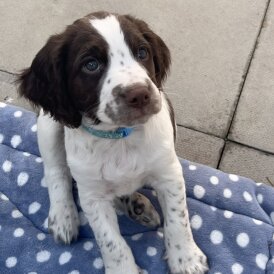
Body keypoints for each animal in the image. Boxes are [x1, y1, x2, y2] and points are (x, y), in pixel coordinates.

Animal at [18, 11, 209, 274]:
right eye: (91, 65)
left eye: (142, 52)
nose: (139, 94)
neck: (119, 137)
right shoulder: (92, 197)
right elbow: (111, 243)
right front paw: (123, 269)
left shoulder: (168, 173)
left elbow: (178, 219)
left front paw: (186, 259)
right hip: (49, 124)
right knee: (56, 171)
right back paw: (64, 217)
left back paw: (137, 206)